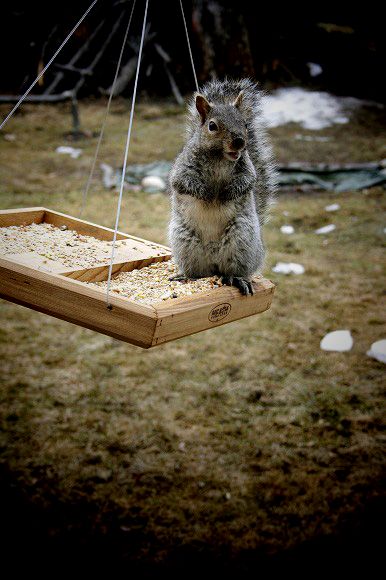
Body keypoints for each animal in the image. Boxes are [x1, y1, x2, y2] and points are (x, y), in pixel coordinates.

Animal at [167, 78, 276, 294]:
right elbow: (183, 183)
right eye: (212, 126)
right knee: (198, 273)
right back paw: (186, 276)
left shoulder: (247, 169)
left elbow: (248, 181)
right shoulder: (182, 170)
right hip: (185, 243)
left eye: (244, 123)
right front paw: (207, 194)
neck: (219, 157)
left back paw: (237, 279)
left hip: (242, 240)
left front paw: (227, 194)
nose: (239, 142)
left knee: (235, 270)